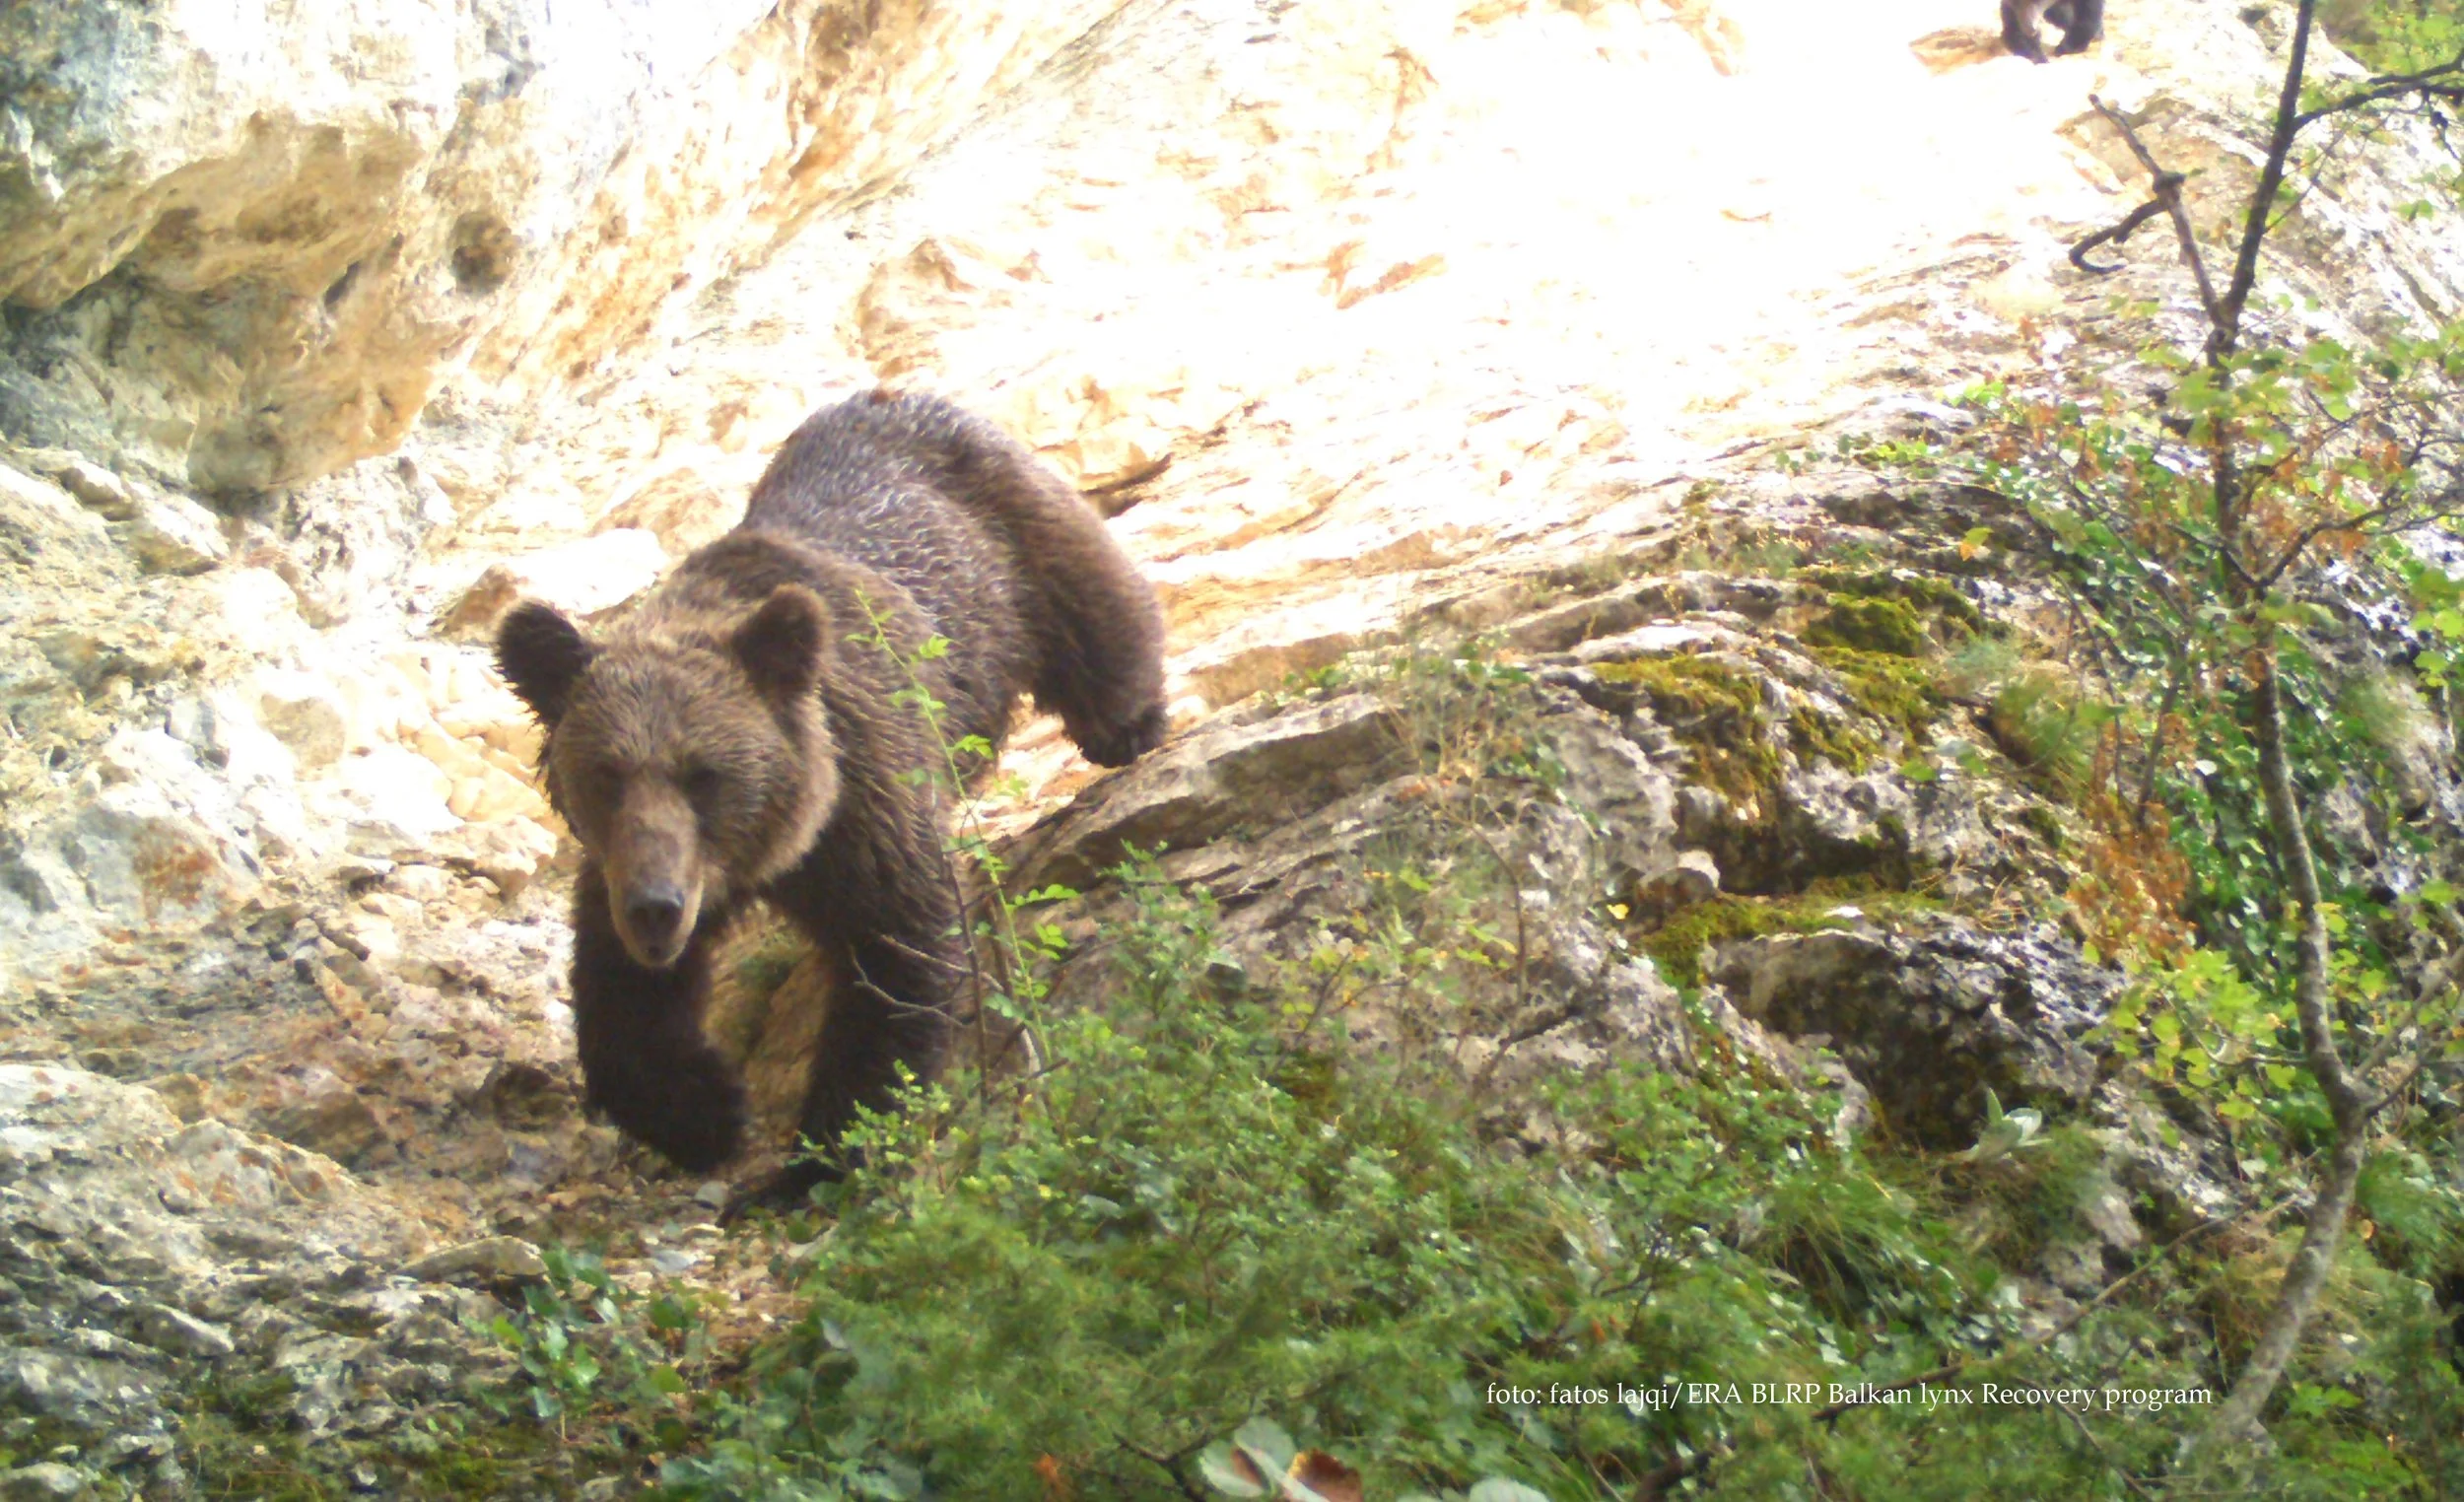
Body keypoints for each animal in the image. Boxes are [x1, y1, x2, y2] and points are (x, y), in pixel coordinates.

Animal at [494, 389, 1169, 1201]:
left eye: (703, 773)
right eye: (606, 775)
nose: (657, 907)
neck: (777, 848)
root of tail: (899, 394)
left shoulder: (866, 815)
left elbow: (894, 960)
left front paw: (823, 1152)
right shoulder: (622, 867)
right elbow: (620, 1002)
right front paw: (702, 1113)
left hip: (1013, 545)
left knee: (1096, 612)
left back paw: (1129, 725)